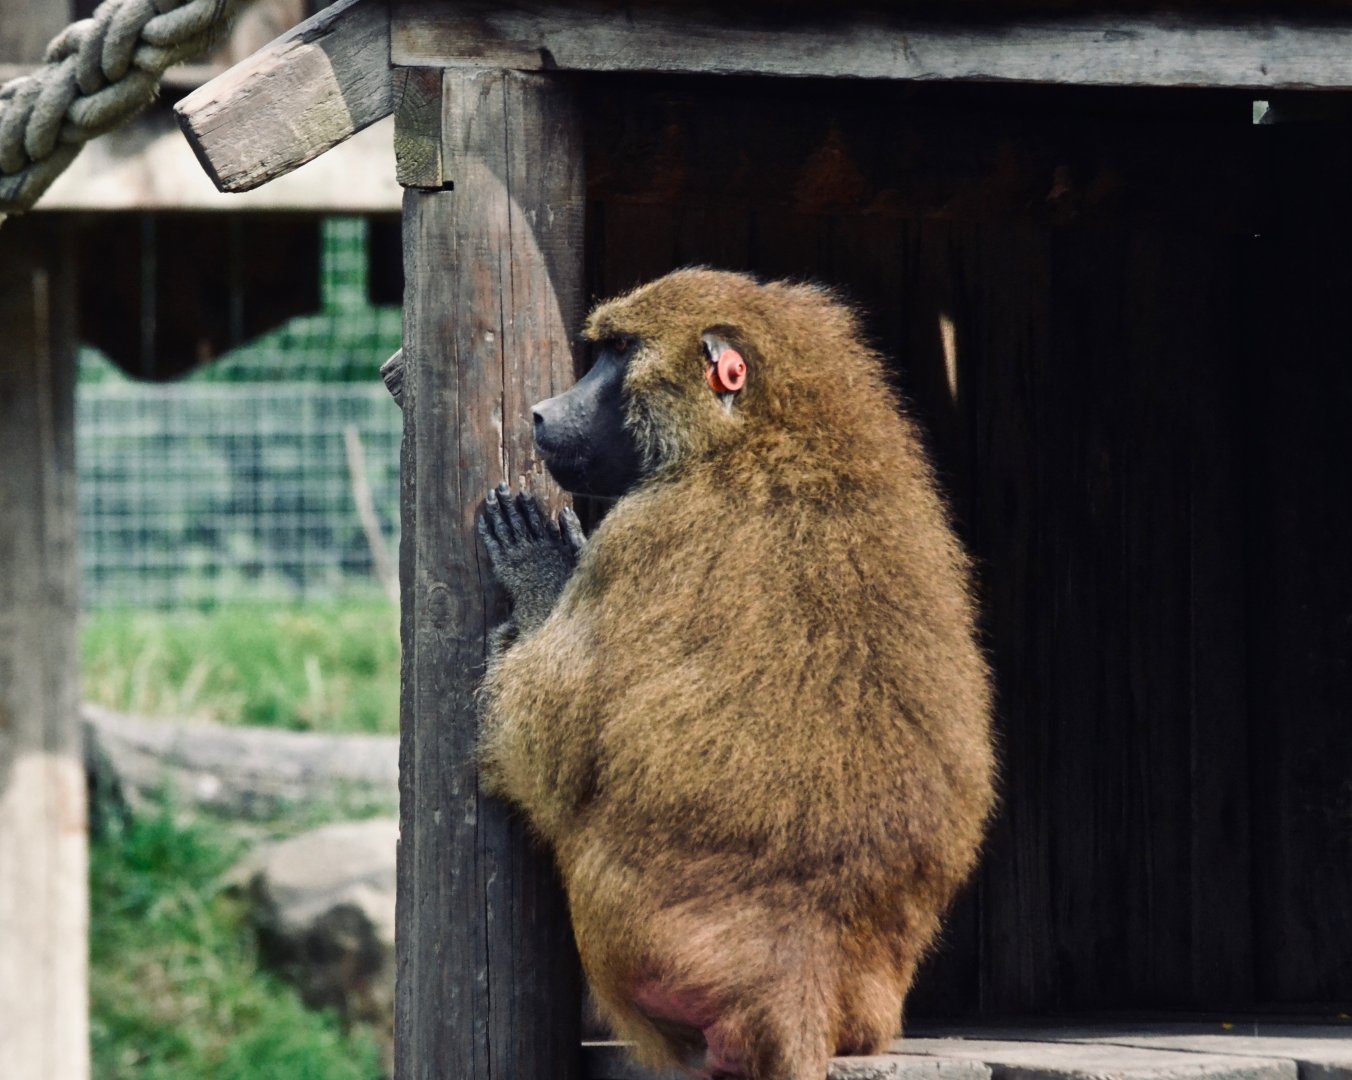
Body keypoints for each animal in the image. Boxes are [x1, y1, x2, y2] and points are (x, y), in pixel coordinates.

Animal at [476, 269, 995, 1080]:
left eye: (619, 353)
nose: (540, 415)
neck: (769, 433)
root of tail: (802, 974)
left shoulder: (642, 534)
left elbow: (546, 753)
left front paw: (536, 573)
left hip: (631, 948)